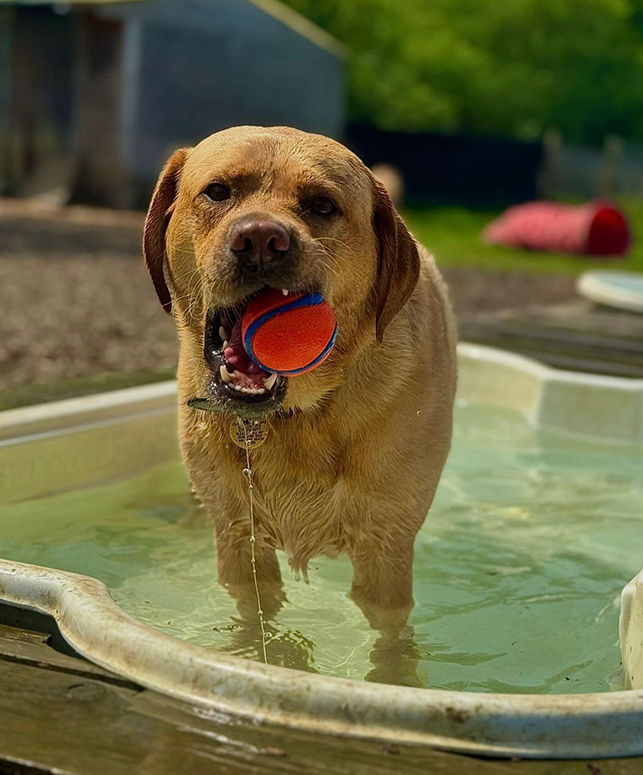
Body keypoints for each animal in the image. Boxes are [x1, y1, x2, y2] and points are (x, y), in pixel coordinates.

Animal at [145, 127, 458, 636]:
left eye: (323, 205)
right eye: (218, 191)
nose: (260, 239)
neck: (298, 414)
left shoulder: (386, 550)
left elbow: (389, 635)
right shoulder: (238, 537)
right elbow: (254, 616)